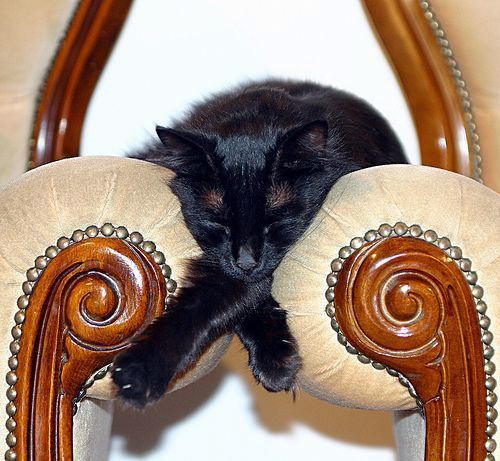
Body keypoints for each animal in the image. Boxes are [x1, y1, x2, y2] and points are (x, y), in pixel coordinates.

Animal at [111, 79, 408, 406]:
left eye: (274, 222)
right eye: (219, 223)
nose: (246, 262)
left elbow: (211, 303)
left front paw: (141, 370)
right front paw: (275, 360)